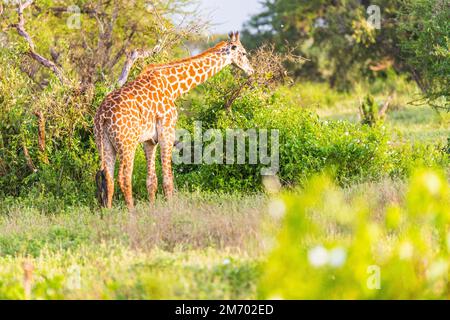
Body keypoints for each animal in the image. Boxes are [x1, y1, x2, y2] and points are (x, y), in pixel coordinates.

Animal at [93, 30, 255, 210]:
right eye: (244, 53)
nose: (251, 70)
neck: (173, 87)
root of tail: (102, 116)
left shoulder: (149, 140)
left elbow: (152, 180)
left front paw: (153, 209)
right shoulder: (167, 131)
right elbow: (168, 178)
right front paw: (170, 209)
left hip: (105, 143)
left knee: (108, 178)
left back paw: (108, 212)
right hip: (127, 143)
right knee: (123, 177)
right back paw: (131, 212)